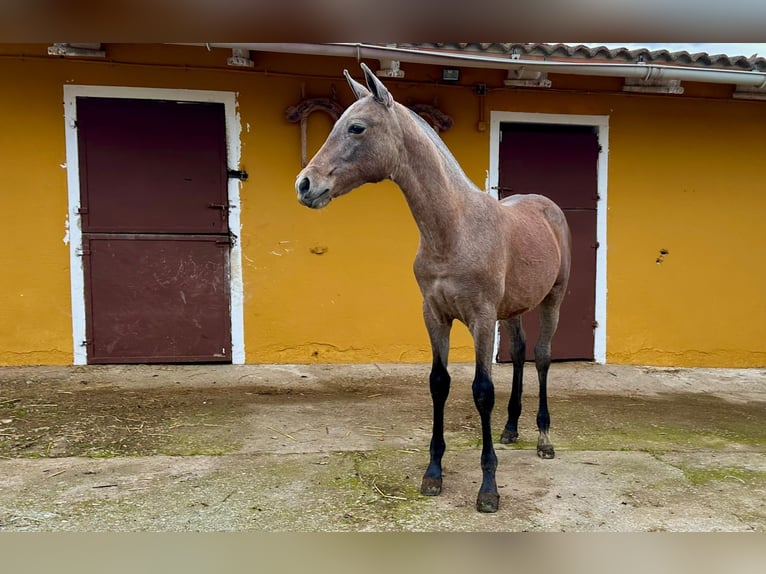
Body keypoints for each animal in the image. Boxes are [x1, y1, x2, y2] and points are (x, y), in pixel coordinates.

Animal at [296, 62, 572, 512]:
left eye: (356, 127)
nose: (305, 185)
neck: (453, 230)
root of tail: (546, 206)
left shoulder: (480, 318)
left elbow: (482, 390)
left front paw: (488, 488)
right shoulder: (434, 314)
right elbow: (438, 384)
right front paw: (433, 473)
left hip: (552, 299)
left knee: (544, 357)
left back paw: (544, 438)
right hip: (512, 309)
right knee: (518, 353)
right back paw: (511, 428)